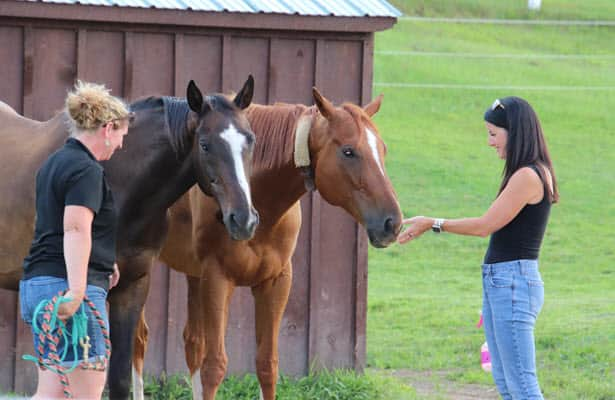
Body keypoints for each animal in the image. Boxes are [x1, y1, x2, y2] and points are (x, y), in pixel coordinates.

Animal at [0, 76, 258, 398]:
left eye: (251, 140)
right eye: (205, 144)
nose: (244, 219)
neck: (122, 183)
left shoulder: (132, 287)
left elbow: (120, 378)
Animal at [132, 88, 402, 400]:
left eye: (383, 149)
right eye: (348, 151)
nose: (392, 222)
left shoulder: (275, 282)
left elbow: (267, 365)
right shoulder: (217, 279)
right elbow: (214, 367)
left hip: (193, 275)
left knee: (192, 342)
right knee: (139, 341)